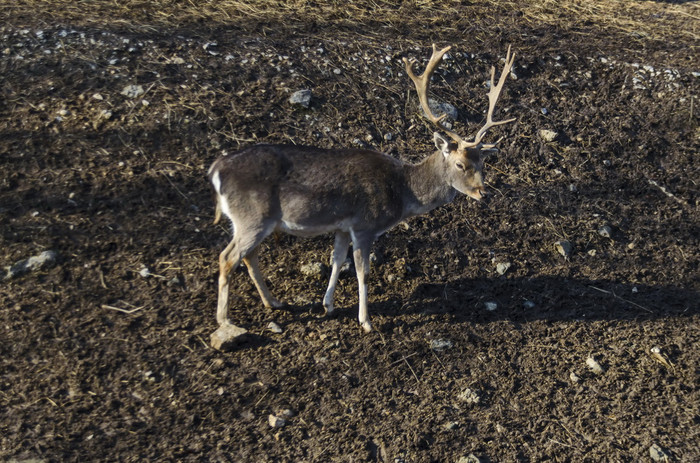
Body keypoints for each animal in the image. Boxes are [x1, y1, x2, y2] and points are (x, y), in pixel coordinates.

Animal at [208, 44, 516, 348]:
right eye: (460, 165)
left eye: (482, 163)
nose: (483, 192)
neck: (402, 192)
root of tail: (217, 169)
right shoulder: (364, 225)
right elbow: (362, 272)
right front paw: (365, 321)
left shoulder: (343, 226)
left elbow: (336, 260)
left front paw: (328, 305)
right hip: (252, 217)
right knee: (227, 257)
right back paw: (225, 321)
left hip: (256, 221)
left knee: (249, 256)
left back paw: (273, 302)